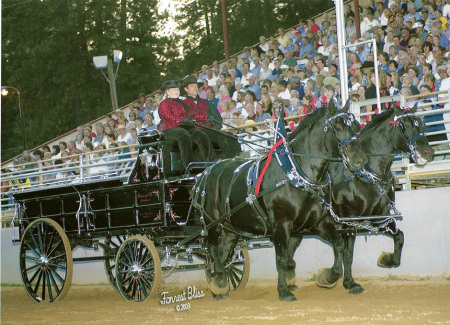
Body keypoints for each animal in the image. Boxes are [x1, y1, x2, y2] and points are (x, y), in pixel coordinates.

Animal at [192, 102, 368, 302]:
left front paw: (330, 278)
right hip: (213, 224)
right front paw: (284, 291)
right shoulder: (281, 225)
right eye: (338, 128)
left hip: (231, 228)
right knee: (213, 248)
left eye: (356, 127)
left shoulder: (317, 223)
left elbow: (338, 245)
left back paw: (219, 286)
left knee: (223, 253)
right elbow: (282, 259)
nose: (360, 160)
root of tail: (205, 172)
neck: (297, 175)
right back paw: (219, 281)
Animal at [286, 103, 434, 294]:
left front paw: (386, 260)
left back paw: (289, 280)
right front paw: (343, 281)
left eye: (422, 125)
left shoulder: (379, 218)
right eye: (406, 125)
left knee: (290, 247)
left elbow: (399, 237)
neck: (366, 174)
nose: (428, 153)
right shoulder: (349, 222)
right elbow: (347, 254)